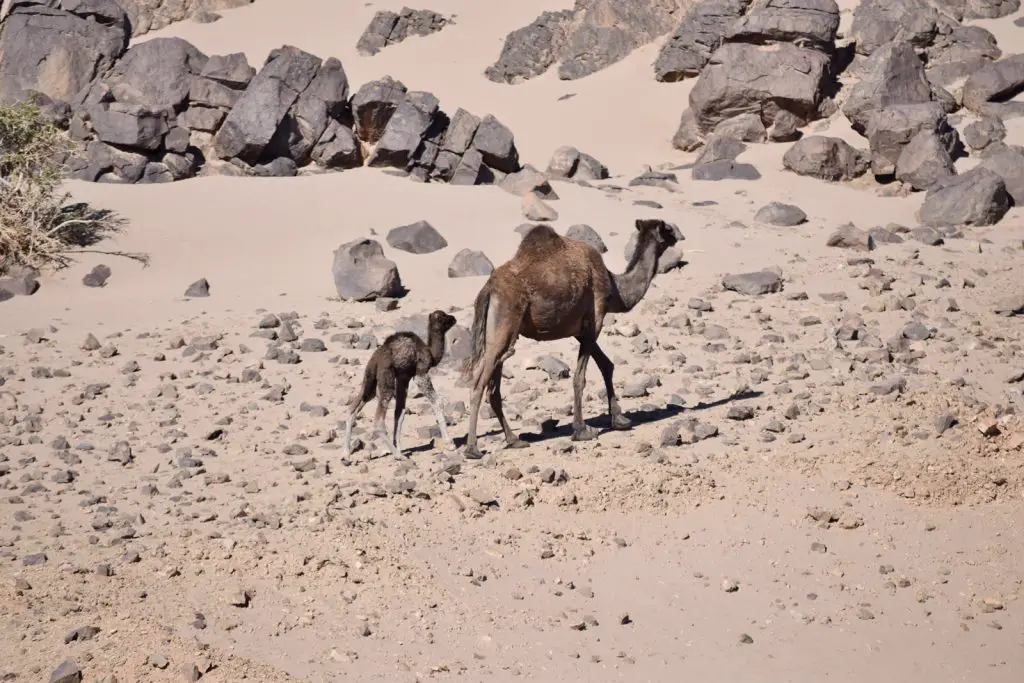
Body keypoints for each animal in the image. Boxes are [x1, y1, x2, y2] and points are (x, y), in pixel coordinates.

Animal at [344, 309, 456, 458]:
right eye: (444, 316)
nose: (454, 318)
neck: (431, 353)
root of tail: (375, 360)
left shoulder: (404, 376)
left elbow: (400, 411)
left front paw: (398, 445)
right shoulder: (420, 372)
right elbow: (437, 401)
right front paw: (450, 444)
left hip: (369, 380)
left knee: (353, 408)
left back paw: (346, 453)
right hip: (386, 378)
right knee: (378, 421)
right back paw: (398, 456)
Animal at [462, 216, 679, 456]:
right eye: (667, 228)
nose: (679, 235)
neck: (616, 289)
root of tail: (488, 290)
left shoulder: (579, 330)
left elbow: (607, 365)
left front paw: (620, 419)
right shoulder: (596, 319)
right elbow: (580, 377)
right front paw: (582, 430)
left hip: (499, 333)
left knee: (492, 386)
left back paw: (514, 440)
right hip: (505, 323)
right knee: (479, 383)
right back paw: (472, 449)